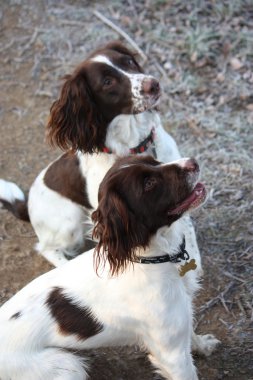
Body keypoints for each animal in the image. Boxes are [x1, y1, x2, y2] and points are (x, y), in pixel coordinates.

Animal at [0, 41, 180, 266]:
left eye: (129, 62)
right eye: (107, 82)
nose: (153, 84)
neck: (134, 143)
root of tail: (28, 204)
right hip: (69, 222)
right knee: (47, 248)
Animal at [0, 155, 219, 380]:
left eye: (154, 160)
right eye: (149, 183)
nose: (192, 162)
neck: (153, 259)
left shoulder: (181, 313)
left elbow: (190, 333)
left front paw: (203, 346)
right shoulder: (172, 354)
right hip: (67, 367)